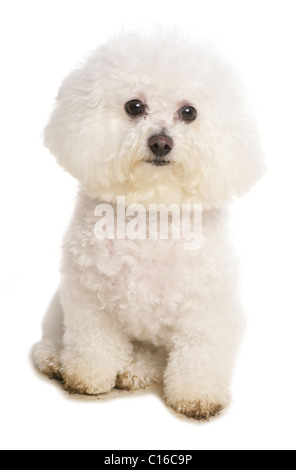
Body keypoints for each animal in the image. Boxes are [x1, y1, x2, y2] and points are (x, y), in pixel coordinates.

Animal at [33, 29, 264, 420]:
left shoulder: (206, 304)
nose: (160, 142)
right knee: (57, 334)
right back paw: (55, 358)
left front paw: (197, 395)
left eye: (189, 112)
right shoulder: (88, 296)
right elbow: (92, 341)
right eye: (134, 107)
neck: (151, 209)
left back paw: (135, 370)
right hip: (58, 309)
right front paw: (87, 376)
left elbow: (199, 350)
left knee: (154, 356)